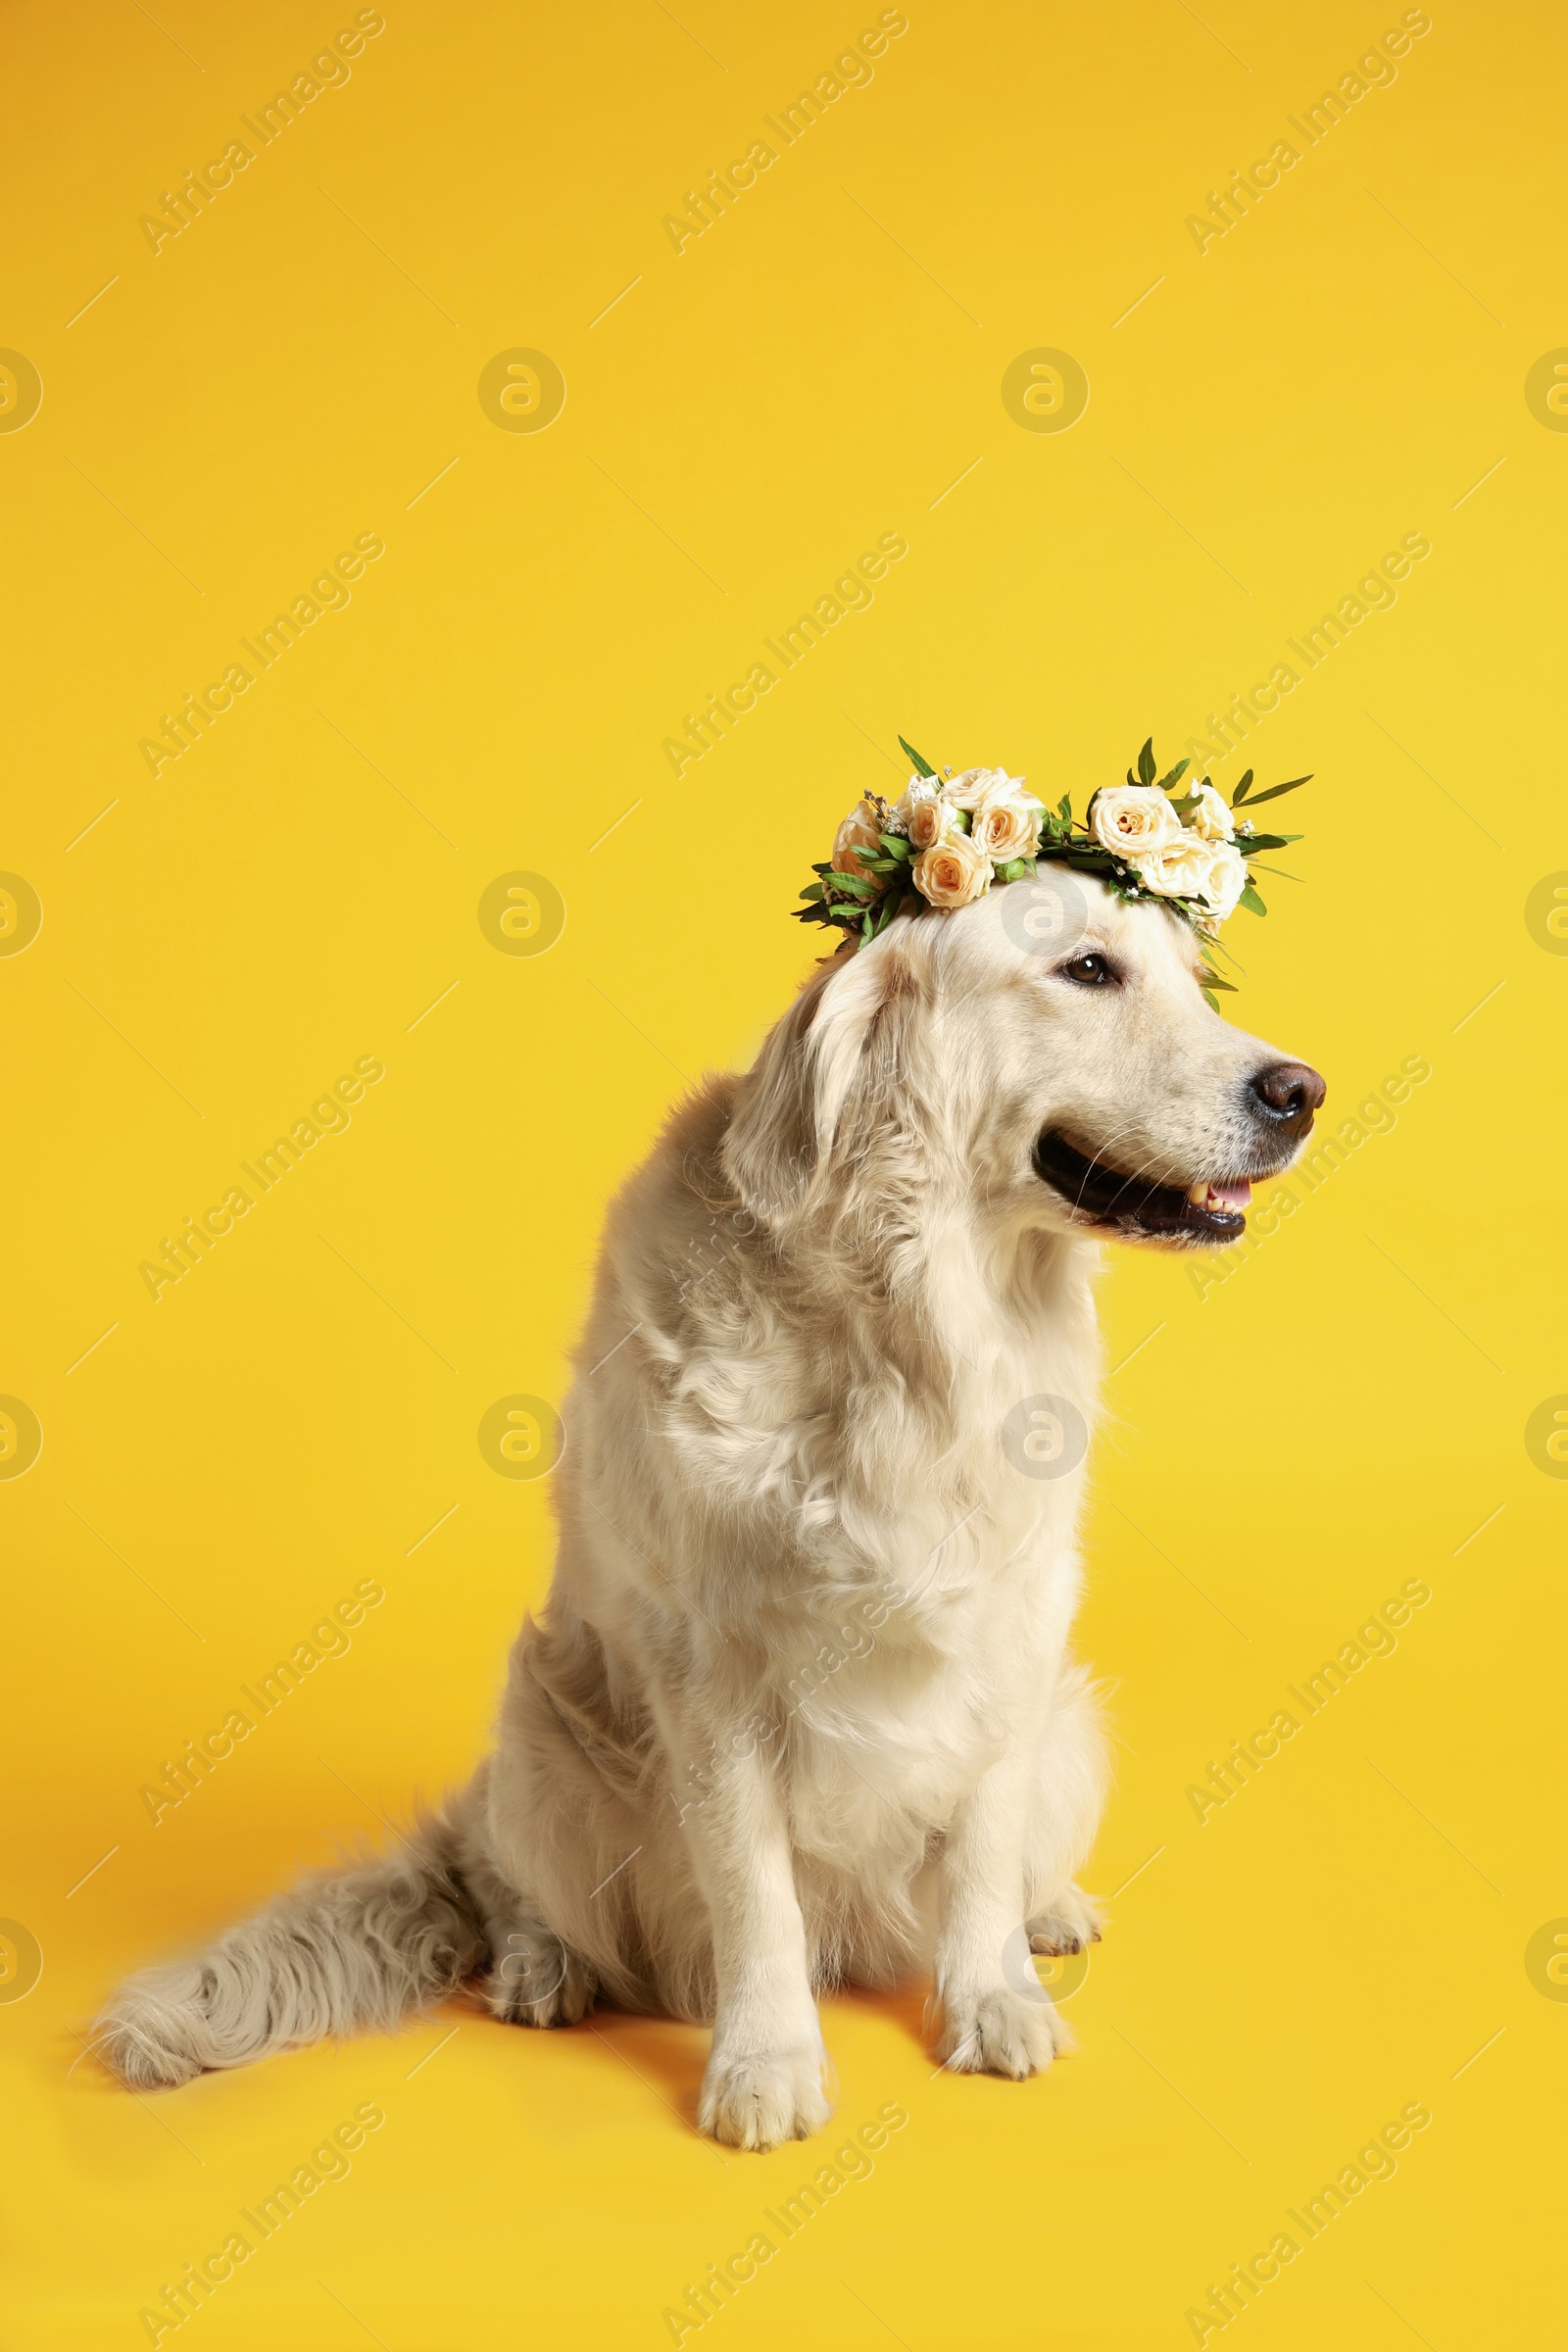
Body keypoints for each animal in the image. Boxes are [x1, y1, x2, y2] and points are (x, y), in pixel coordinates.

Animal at [98, 870, 1325, 2154]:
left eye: (1193, 979)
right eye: (1088, 970)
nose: (1302, 1092)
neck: (909, 1331)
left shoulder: (1015, 1620)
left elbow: (984, 1846)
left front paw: (989, 1995)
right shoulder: (711, 1670)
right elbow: (755, 1893)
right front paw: (768, 2061)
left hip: (1073, 1721)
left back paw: (1052, 1912)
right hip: (540, 1728)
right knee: (502, 1883)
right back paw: (540, 1968)